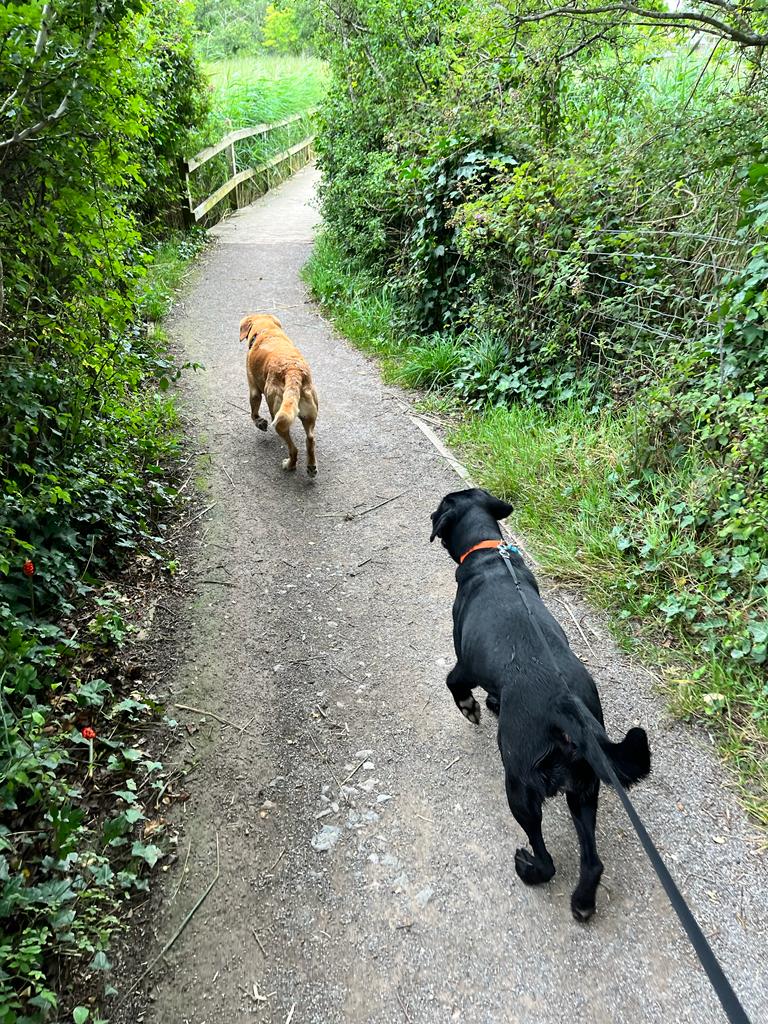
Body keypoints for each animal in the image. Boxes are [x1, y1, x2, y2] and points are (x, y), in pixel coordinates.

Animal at [240, 311, 319, 475]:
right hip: (309, 414)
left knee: (294, 449)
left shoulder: (253, 389)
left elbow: (253, 413)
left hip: (280, 419)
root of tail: (292, 371)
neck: (267, 331)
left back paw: (289, 465)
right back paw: (311, 467)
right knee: (310, 439)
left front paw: (260, 422)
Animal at [430, 487, 651, 921]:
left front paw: (471, 706)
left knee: (547, 859)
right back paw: (582, 902)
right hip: (583, 790)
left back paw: (528, 867)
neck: (489, 553)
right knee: (592, 861)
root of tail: (566, 708)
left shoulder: (465, 664)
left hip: (520, 786)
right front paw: (491, 703)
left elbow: (453, 682)